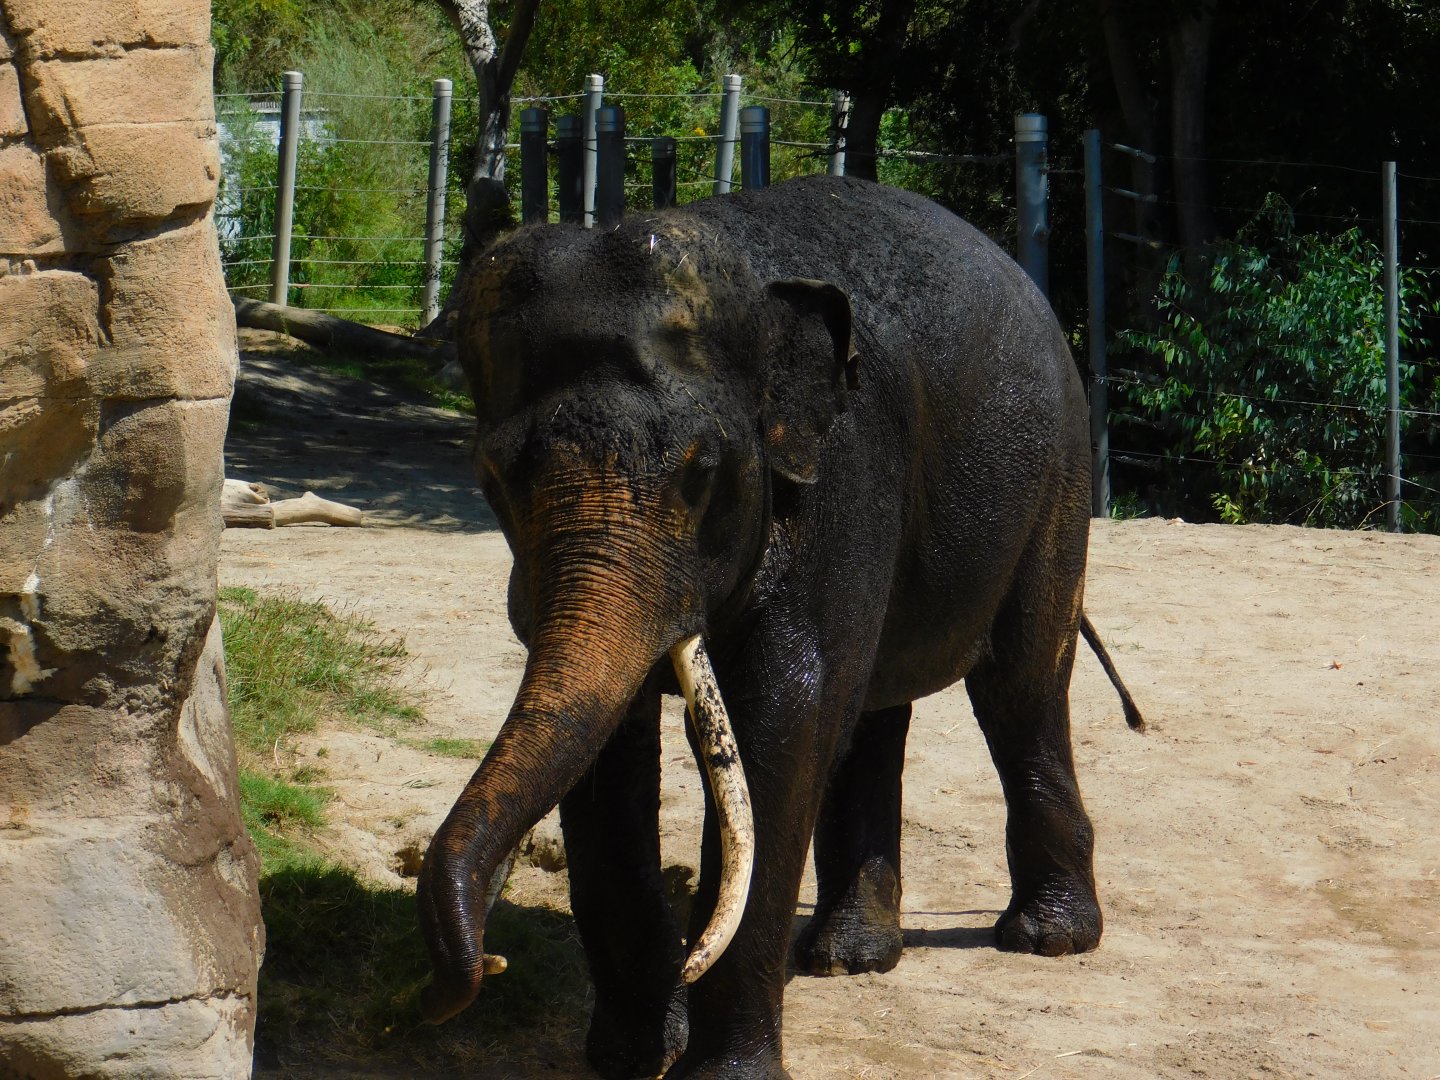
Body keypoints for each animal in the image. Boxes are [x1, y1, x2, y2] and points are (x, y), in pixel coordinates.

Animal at [416, 174, 1143, 1079]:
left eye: (699, 472)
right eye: (494, 478)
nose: (481, 963)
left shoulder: (843, 478)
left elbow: (785, 718)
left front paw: (719, 1071)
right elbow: (609, 754)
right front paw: (631, 1059)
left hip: (1058, 478)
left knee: (1020, 688)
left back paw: (1047, 940)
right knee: (874, 711)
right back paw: (848, 958)